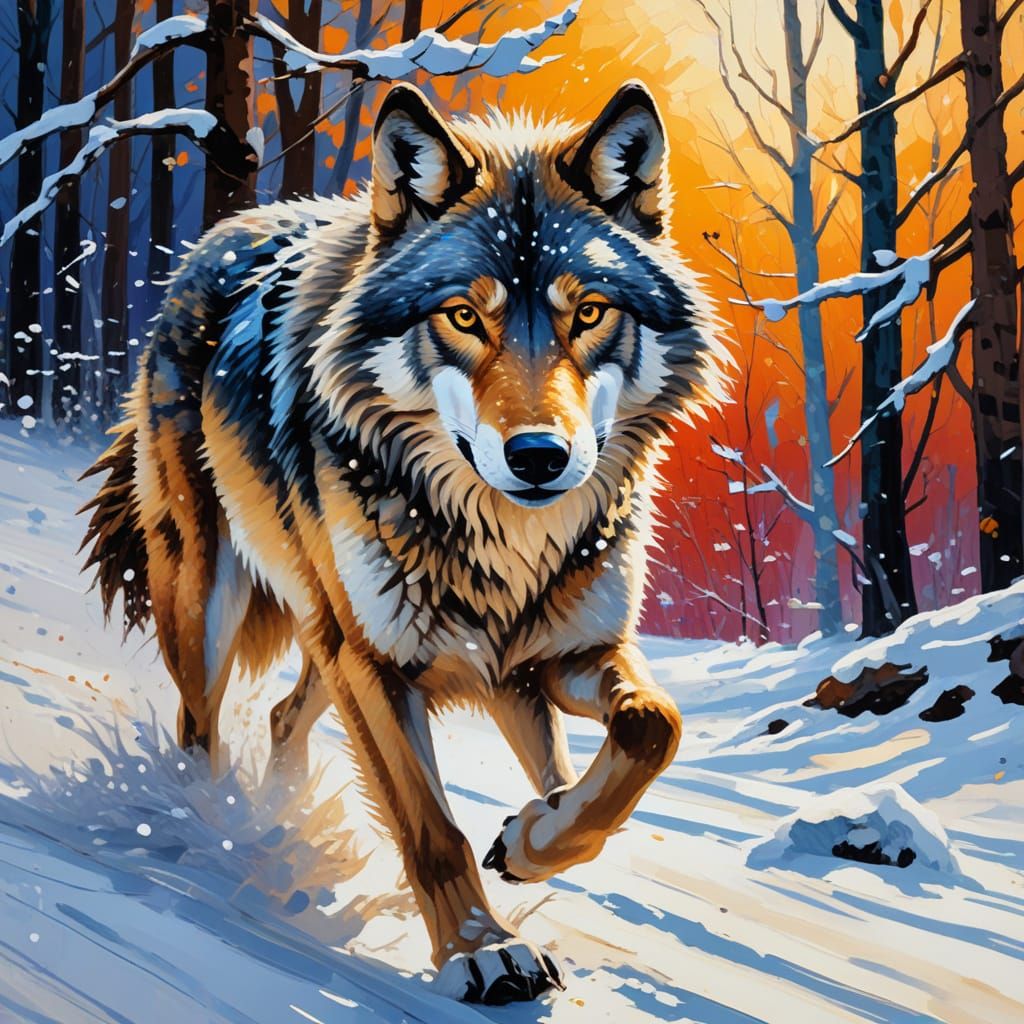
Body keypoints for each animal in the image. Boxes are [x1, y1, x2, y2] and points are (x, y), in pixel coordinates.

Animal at [80, 80, 727, 1004]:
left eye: (590, 313)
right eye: (462, 316)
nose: (539, 456)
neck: (503, 546)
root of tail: (226, 231)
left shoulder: (563, 653)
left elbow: (651, 728)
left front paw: (533, 840)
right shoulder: (381, 666)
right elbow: (430, 827)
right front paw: (481, 951)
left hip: (354, 642)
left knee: (284, 715)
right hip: (216, 611)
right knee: (199, 731)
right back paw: (217, 828)